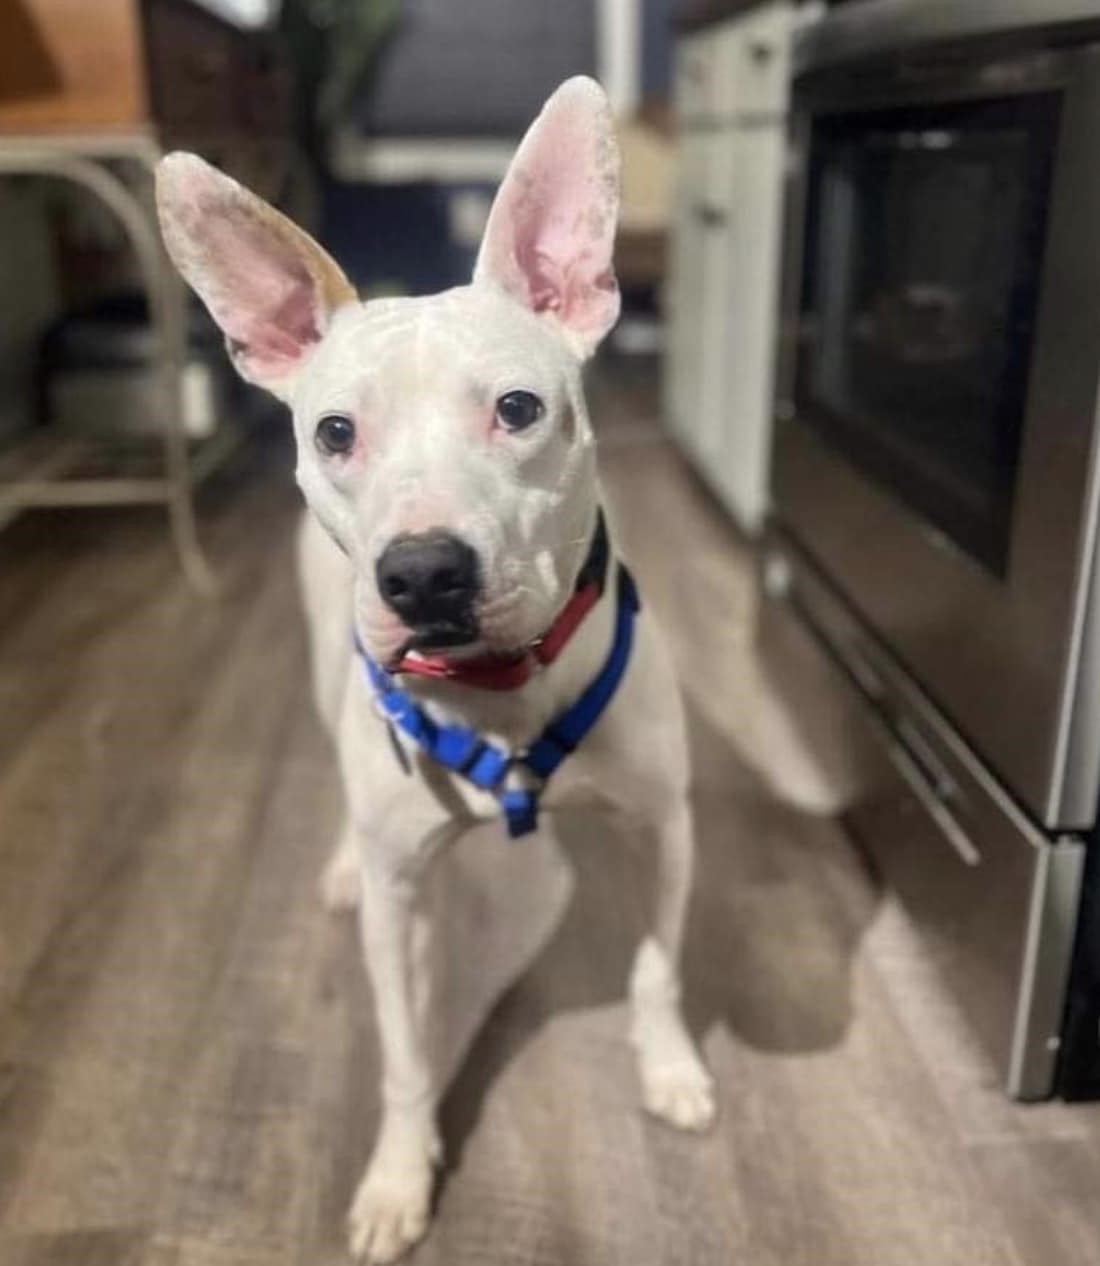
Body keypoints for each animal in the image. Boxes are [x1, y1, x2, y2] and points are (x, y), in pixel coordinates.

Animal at [158, 79, 718, 1266]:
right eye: (335, 432)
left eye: (518, 409)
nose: (420, 573)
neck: (501, 695)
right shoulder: (402, 901)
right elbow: (408, 1054)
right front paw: (397, 1176)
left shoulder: (666, 826)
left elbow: (655, 969)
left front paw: (669, 1067)